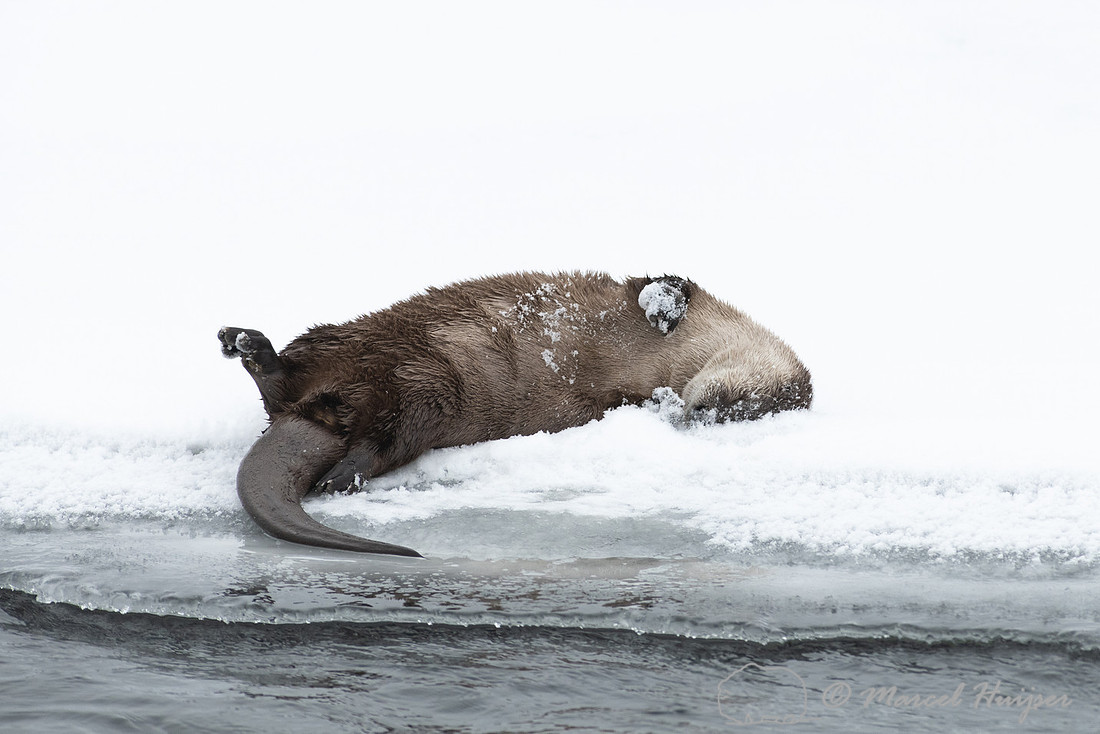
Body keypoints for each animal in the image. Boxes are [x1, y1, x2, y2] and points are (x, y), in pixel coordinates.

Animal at [219, 271, 811, 557]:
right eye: (734, 403)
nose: (699, 410)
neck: (680, 357)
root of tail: (322, 411)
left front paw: (662, 400)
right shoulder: (701, 301)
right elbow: (666, 280)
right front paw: (661, 305)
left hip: (430, 392)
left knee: (382, 433)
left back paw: (343, 473)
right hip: (348, 336)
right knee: (291, 372)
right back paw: (245, 342)